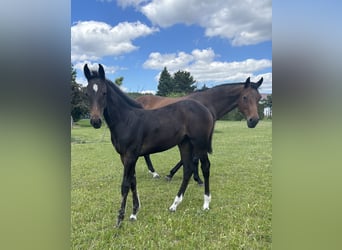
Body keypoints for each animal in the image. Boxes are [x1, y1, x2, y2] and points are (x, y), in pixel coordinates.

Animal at [84, 64, 215, 227]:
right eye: (87, 93)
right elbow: (133, 181)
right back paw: (174, 205)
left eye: (104, 92)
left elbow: (125, 184)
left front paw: (119, 219)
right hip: (185, 144)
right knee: (188, 170)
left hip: (200, 144)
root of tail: (206, 110)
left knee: (205, 167)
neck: (127, 120)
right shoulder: (125, 157)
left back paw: (206, 203)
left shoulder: (130, 156)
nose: (95, 121)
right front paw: (134, 213)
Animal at [135, 78, 264, 184]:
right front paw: (194, 178)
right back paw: (154, 173)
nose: (254, 120)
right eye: (245, 97)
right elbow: (193, 158)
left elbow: (191, 157)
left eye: (259, 98)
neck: (206, 103)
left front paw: (183, 175)